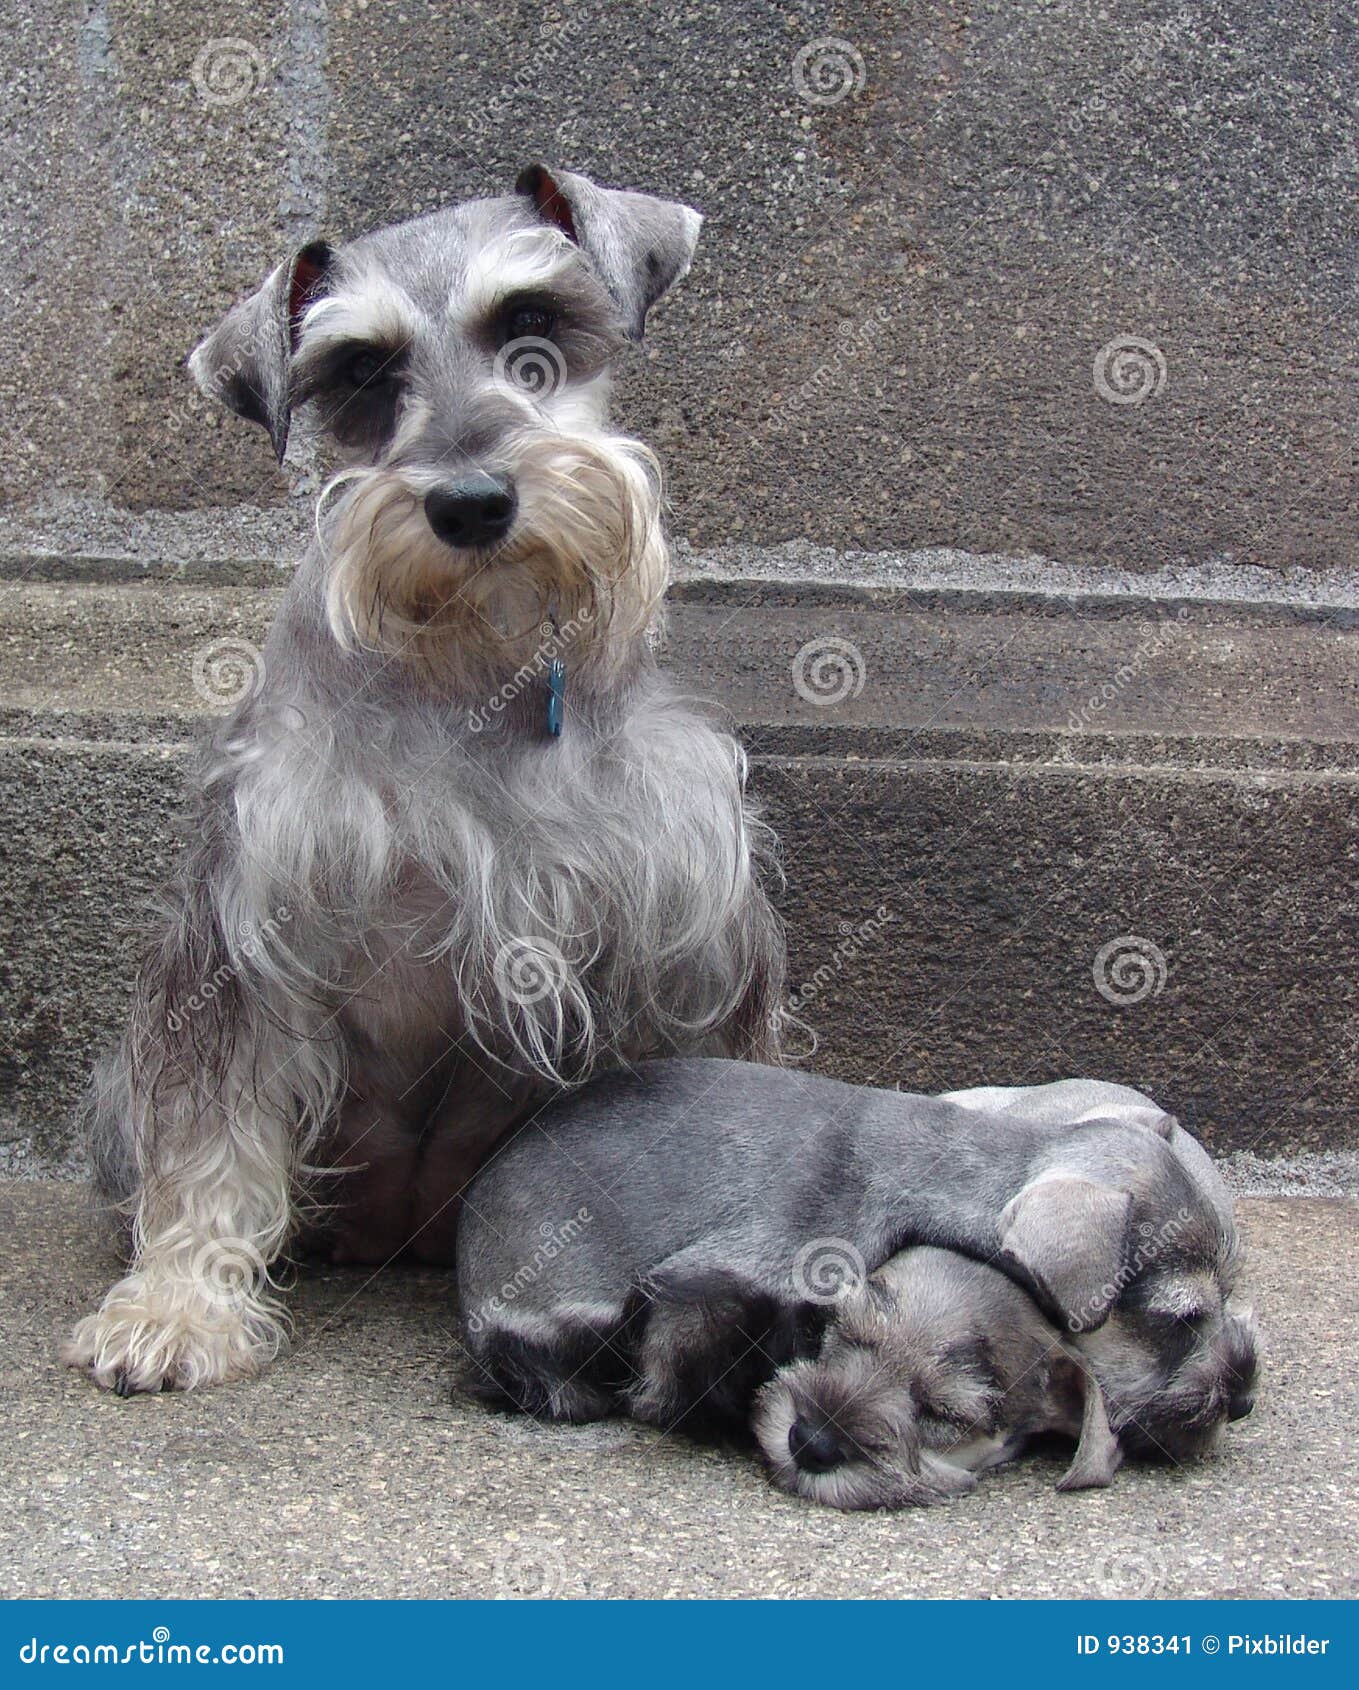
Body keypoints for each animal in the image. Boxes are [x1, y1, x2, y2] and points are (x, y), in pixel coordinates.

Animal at [66, 164, 784, 1392]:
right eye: (361, 370)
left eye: (531, 322)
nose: (471, 501)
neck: (480, 670)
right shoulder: (246, 925)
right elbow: (210, 1143)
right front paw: (177, 1309)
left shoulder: (687, 940)